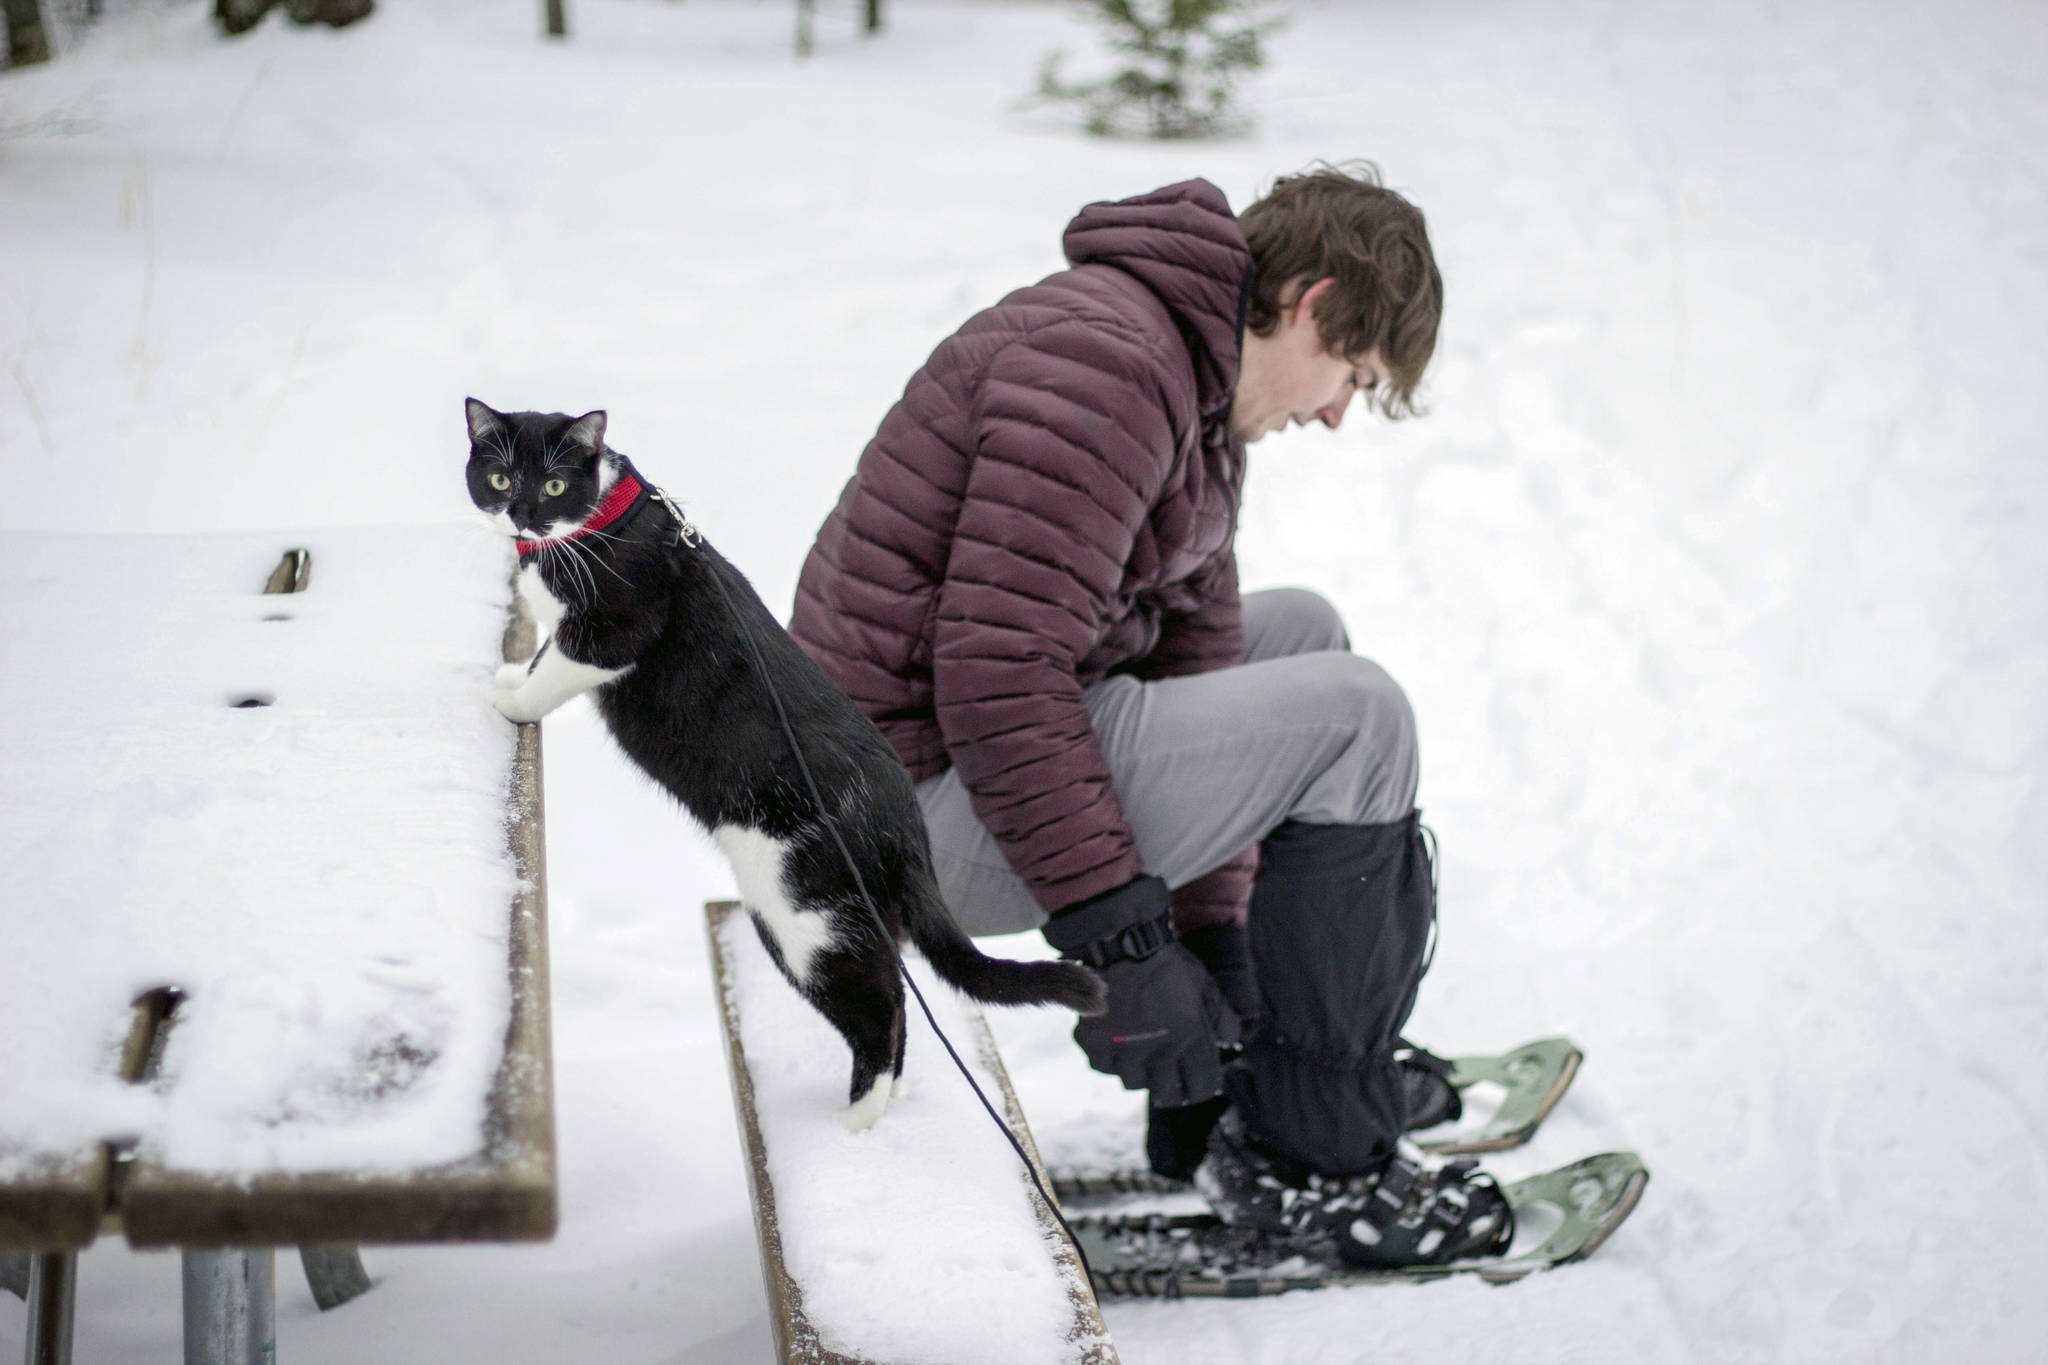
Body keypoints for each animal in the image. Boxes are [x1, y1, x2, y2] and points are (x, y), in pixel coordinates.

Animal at [468, 397, 1105, 1129]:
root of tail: (906, 822)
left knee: (882, 1003)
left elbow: (557, 669)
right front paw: (512, 672)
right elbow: (542, 656)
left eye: (551, 485)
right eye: (498, 477)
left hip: (801, 910)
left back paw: (857, 1120)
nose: (521, 513)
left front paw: (509, 701)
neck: (599, 521)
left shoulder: (614, 630)